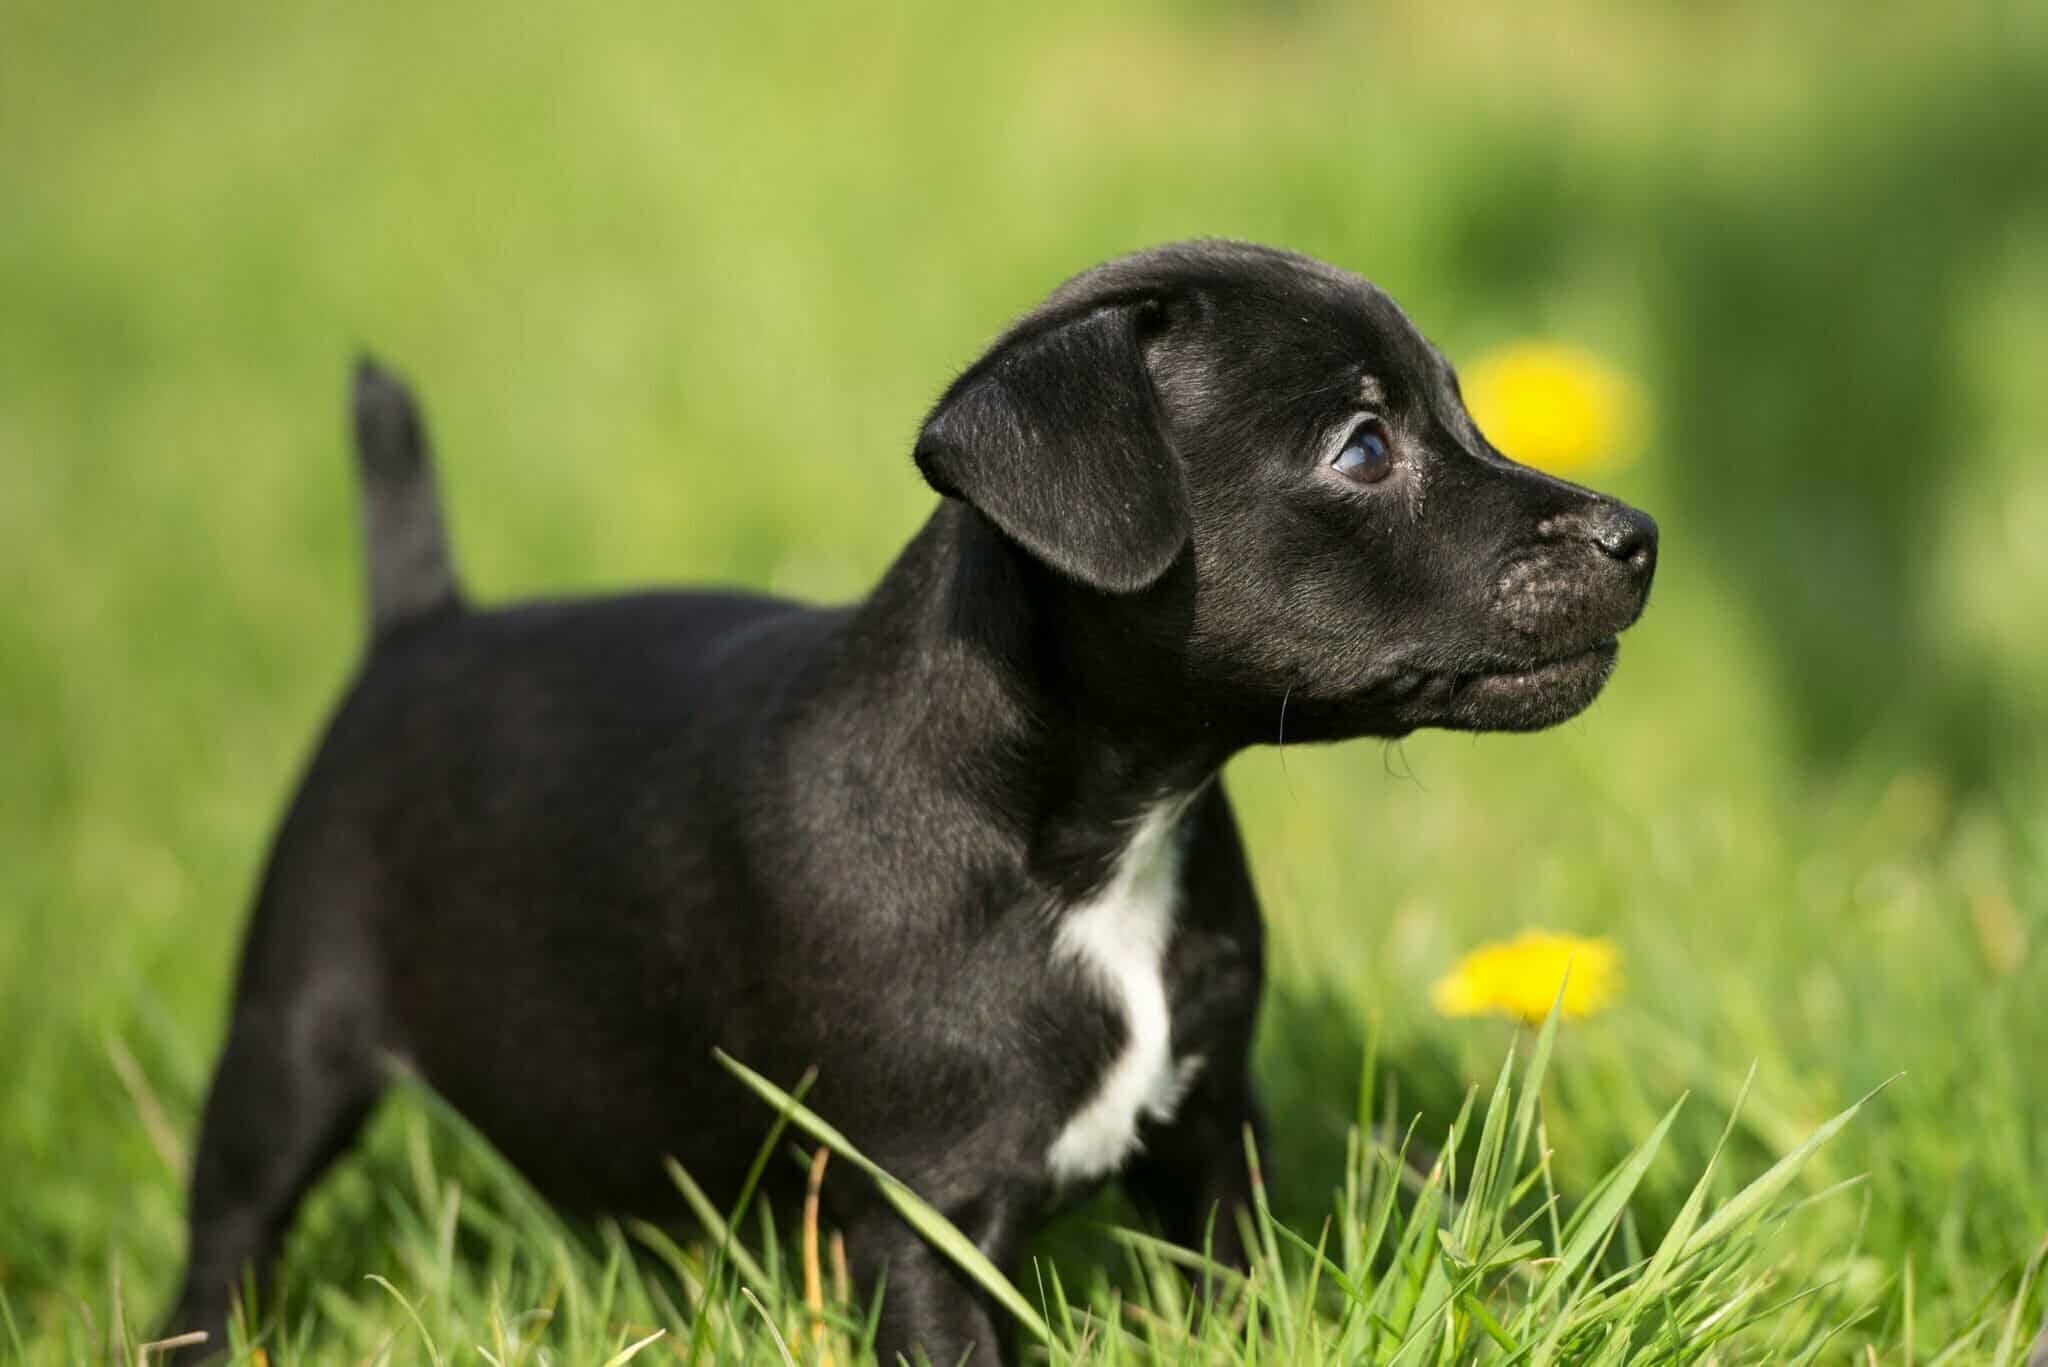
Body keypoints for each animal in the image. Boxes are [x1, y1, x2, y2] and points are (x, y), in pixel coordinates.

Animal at [167, 240, 1654, 1360]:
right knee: (227, 1231)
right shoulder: (923, 1220)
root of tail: (419, 626)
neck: (1099, 842)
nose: (1635, 535)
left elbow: (1240, 1291)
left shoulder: (1209, 1133)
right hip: (293, 1032)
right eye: (1360, 448)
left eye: (1461, 414)